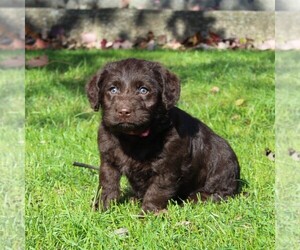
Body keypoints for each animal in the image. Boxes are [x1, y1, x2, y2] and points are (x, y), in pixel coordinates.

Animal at [85, 57, 240, 212]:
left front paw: (147, 214)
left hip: (222, 162)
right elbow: (107, 183)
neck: (132, 137)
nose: (124, 111)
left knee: (219, 193)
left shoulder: (167, 168)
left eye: (143, 90)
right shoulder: (108, 160)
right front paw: (102, 207)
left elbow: (156, 192)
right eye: (113, 89)